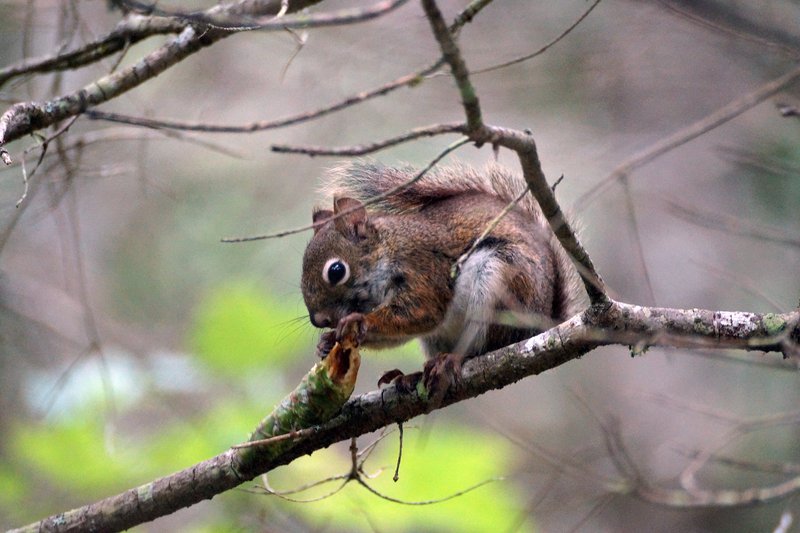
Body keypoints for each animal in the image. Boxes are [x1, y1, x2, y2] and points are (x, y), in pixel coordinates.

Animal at [301, 161, 581, 402]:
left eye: (336, 271)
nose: (319, 320)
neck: (388, 249)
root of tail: (538, 325)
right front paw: (327, 342)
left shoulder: (424, 272)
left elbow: (422, 313)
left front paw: (360, 321)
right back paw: (412, 376)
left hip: (497, 281)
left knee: (483, 346)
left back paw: (453, 360)